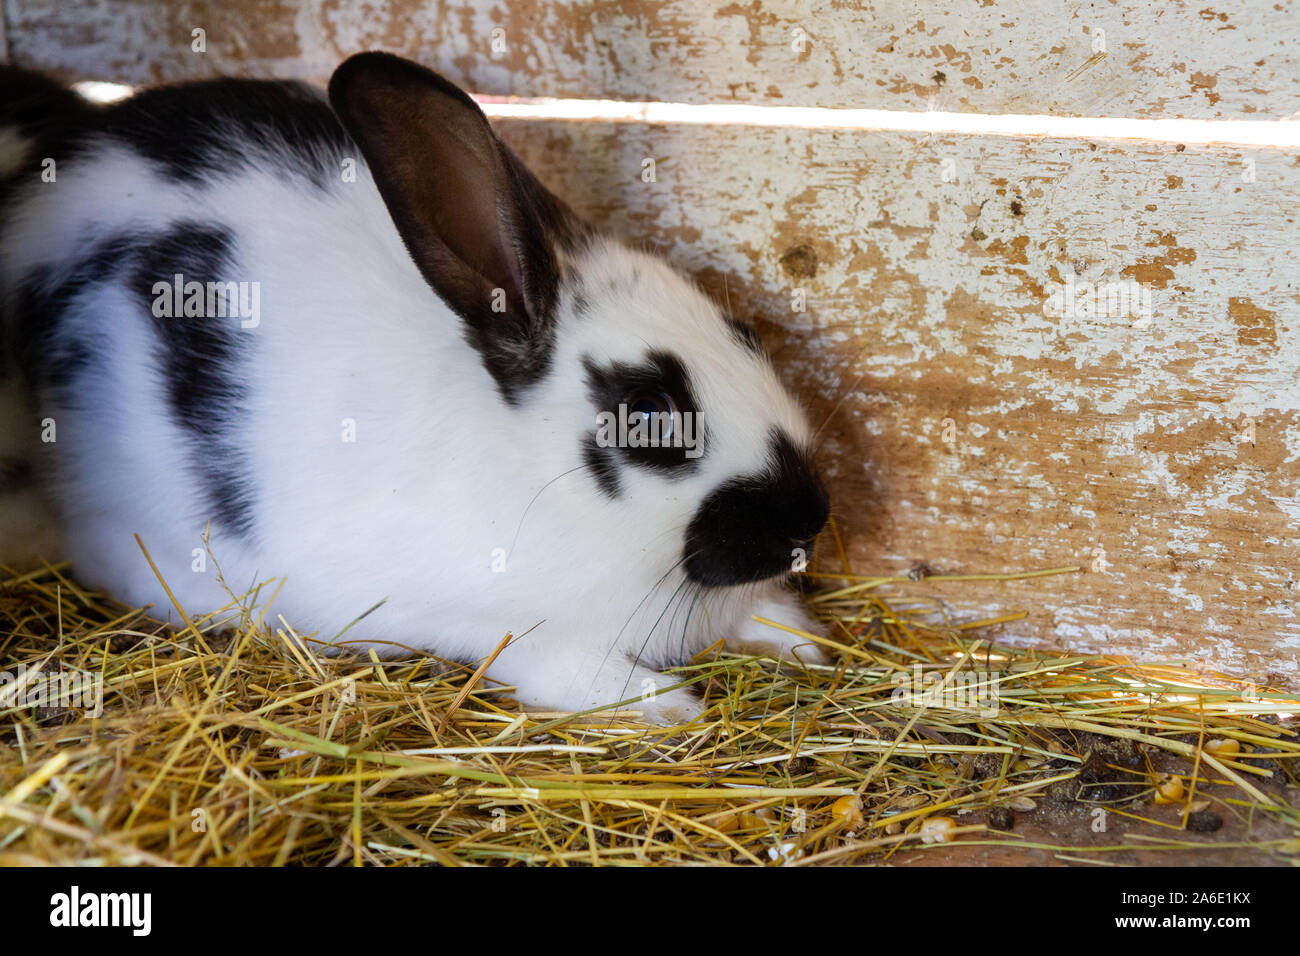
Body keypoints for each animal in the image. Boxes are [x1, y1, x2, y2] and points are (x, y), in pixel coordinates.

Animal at [0, 52, 831, 724]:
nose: (809, 519)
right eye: (649, 413)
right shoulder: (513, 635)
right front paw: (671, 706)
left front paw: (806, 642)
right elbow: (576, 675)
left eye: (746, 334)